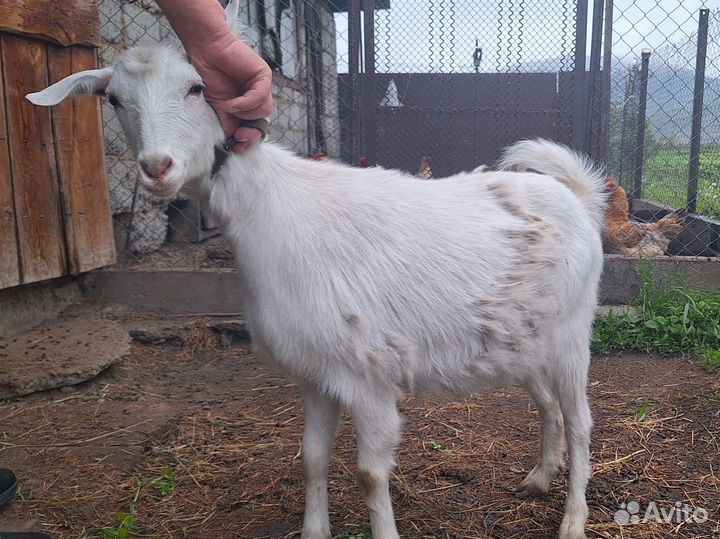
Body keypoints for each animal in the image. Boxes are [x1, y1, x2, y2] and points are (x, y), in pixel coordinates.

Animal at [27, 7, 605, 538]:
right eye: (113, 99)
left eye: (196, 88)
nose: (156, 168)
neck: (269, 211)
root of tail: (575, 196)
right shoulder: (316, 373)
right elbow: (311, 459)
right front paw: (314, 529)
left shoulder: (369, 373)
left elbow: (370, 474)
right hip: (523, 341)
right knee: (548, 406)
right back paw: (538, 477)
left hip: (572, 335)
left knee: (579, 421)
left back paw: (573, 518)